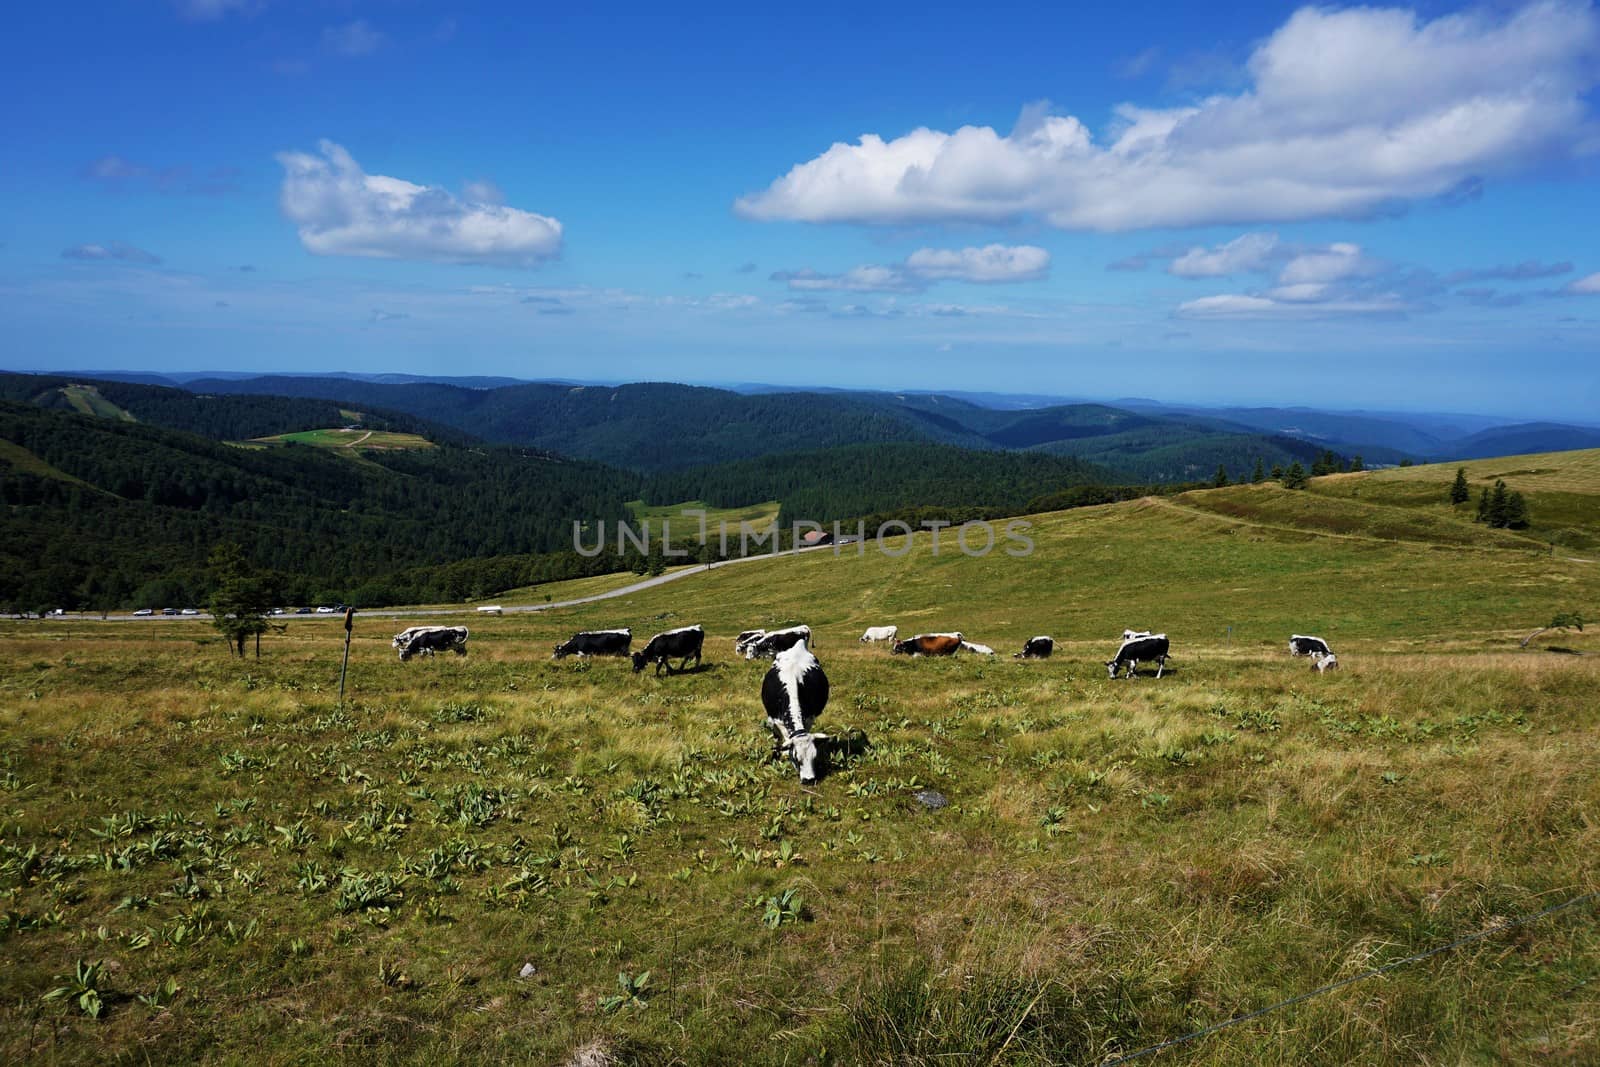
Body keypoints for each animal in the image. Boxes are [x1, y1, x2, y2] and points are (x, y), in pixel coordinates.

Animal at [761, 643, 832, 783]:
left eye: (814, 757)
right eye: (796, 758)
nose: (809, 780)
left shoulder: (810, 717)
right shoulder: (775, 719)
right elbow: (783, 737)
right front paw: (783, 753)